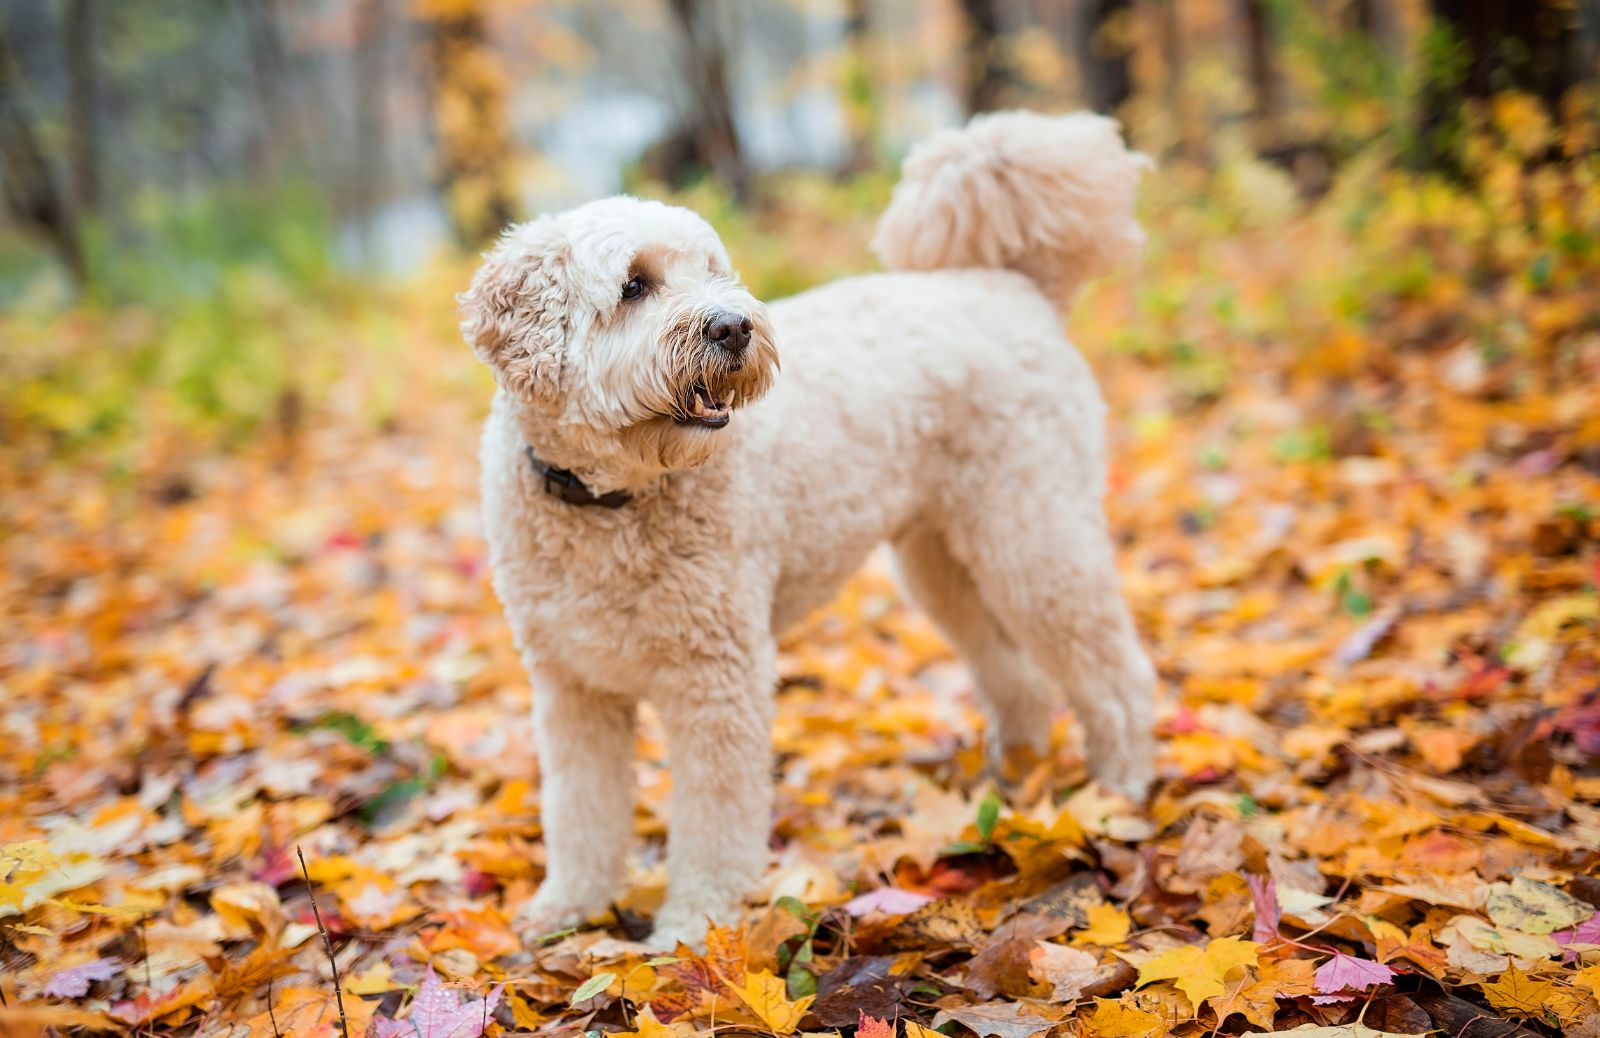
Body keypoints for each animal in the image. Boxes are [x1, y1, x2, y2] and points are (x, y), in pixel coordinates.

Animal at [467, 109, 1164, 940]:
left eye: (715, 271)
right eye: (635, 284)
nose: (733, 326)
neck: (609, 502)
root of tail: (1012, 284)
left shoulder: (718, 678)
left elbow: (714, 818)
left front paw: (694, 925)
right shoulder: (572, 688)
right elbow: (579, 810)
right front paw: (568, 908)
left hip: (1032, 535)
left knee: (1113, 670)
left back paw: (1120, 788)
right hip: (943, 563)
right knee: (1016, 677)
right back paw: (1011, 782)